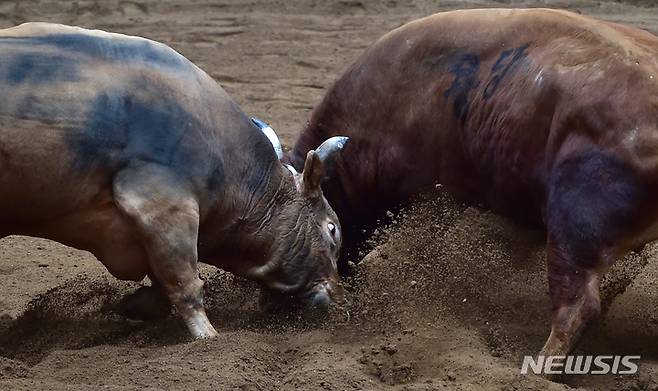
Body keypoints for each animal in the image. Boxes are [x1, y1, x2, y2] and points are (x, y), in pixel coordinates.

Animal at [286, 8, 656, 358]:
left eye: (329, 229)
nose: (311, 304)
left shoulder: (432, 200)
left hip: (575, 234)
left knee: (578, 306)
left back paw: (540, 366)